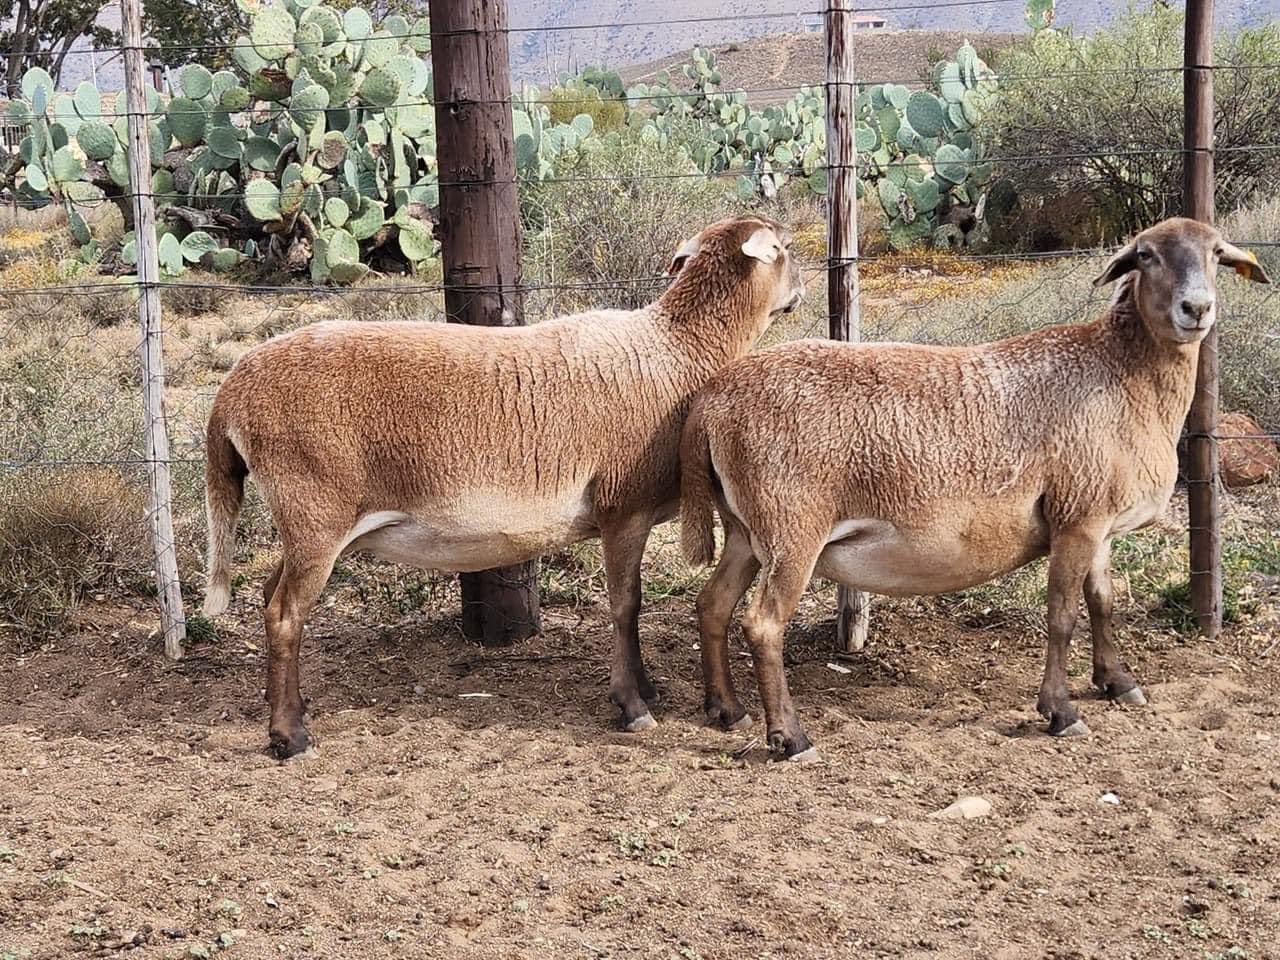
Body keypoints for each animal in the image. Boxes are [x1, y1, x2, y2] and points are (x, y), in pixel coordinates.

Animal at [202, 214, 803, 758]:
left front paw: (646, 689)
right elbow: (625, 605)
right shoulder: (622, 509)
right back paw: (289, 737)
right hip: (315, 509)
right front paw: (632, 704)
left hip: (310, 523)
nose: (800, 293)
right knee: (285, 614)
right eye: (787, 249)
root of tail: (231, 392)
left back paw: (294, 709)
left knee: (270, 596)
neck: (679, 351)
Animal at [679, 217, 1269, 760]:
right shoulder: (1077, 520)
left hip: (746, 528)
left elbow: (1101, 602)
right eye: (1146, 255)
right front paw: (1061, 711)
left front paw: (1118, 683)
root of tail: (711, 400)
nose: (1197, 308)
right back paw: (790, 736)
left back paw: (726, 708)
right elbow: (1063, 616)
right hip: (791, 526)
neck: (1124, 374)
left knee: (713, 604)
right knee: (762, 624)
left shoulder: (1099, 521)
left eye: (1217, 253)